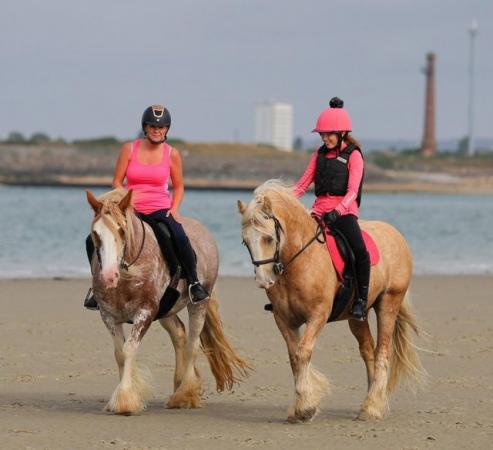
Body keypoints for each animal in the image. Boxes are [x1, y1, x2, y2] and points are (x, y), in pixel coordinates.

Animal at [85, 188, 250, 414]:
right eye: (95, 233)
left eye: (121, 231)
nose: (109, 276)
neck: (129, 273)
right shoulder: (109, 316)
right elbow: (119, 353)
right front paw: (126, 395)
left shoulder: (145, 313)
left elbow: (128, 350)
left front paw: (125, 399)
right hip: (166, 310)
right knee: (179, 334)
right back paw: (179, 386)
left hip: (198, 305)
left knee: (192, 344)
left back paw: (185, 394)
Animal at [236, 179, 424, 422]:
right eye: (245, 241)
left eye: (268, 238)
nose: (264, 280)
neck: (301, 260)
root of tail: (396, 234)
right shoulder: (284, 319)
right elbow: (294, 358)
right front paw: (301, 406)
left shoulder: (318, 315)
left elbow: (303, 352)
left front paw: (305, 407)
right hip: (357, 317)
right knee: (368, 351)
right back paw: (370, 401)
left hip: (388, 304)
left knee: (383, 352)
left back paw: (373, 407)